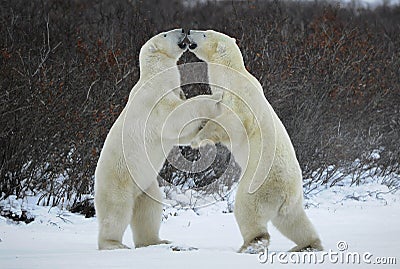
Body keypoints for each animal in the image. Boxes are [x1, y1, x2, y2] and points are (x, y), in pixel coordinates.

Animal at [95, 29, 223, 249]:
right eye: (165, 34)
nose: (184, 30)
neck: (155, 78)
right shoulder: (154, 100)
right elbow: (176, 115)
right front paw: (214, 99)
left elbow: (181, 133)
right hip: (117, 180)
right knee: (116, 211)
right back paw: (113, 244)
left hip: (146, 185)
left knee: (149, 209)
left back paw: (156, 241)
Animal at [187, 30, 322, 252]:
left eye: (205, 34)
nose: (189, 32)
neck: (232, 74)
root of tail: (288, 194)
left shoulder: (240, 96)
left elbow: (231, 122)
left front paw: (198, 140)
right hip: (292, 201)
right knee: (293, 221)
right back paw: (308, 245)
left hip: (260, 182)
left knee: (248, 208)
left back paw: (252, 243)